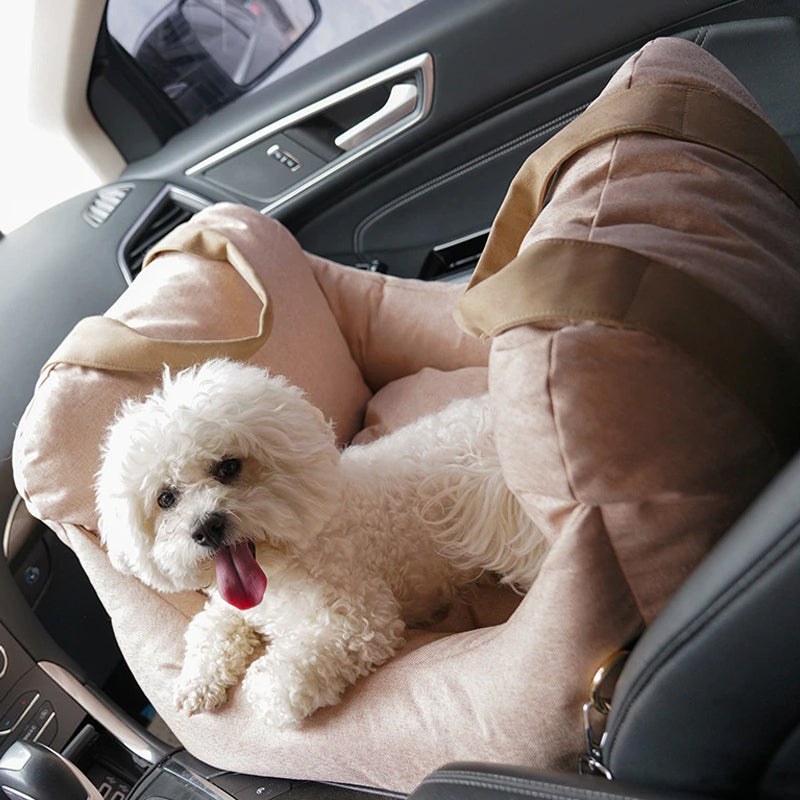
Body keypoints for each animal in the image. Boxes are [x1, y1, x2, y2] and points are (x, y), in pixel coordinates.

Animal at [92, 360, 544, 728]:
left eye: (229, 467)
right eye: (166, 498)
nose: (207, 527)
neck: (280, 565)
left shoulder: (362, 621)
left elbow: (289, 671)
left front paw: (266, 692)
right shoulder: (230, 606)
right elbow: (209, 630)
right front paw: (197, 683)